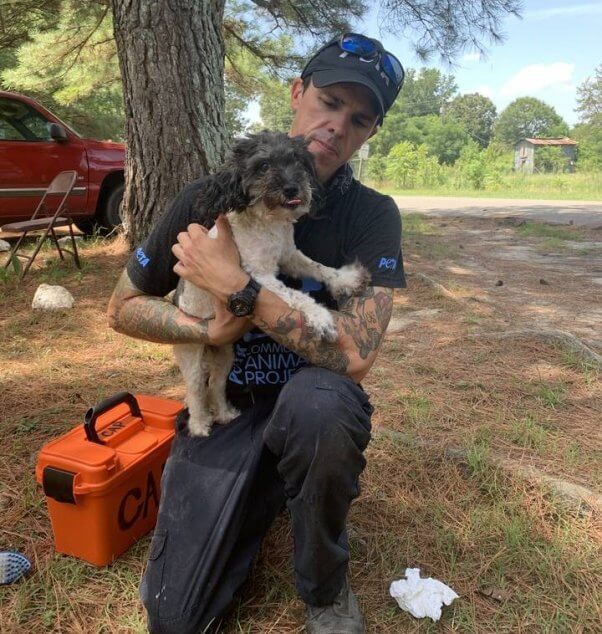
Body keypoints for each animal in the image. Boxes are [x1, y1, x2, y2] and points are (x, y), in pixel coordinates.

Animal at [173, 131, 368, 436]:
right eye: (263, 165)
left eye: (297, 160)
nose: (291, 188)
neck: (269, 224)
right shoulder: (258, 274)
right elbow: (297, 296)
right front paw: (321, 318)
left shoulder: (289, 256)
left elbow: (319, 268)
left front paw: (345, 279)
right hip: (191, 352)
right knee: (195, 391)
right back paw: (200, 425)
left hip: (224, 354)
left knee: (215, 384)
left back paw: (225, 414)